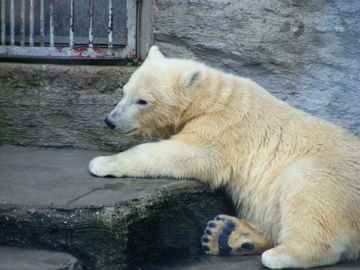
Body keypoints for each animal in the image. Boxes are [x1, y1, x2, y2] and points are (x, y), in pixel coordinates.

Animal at [89, 46, 360, 268]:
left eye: (142, 100)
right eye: (125, 91)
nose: (110, 121)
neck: (211, 98)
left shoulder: (222, 129)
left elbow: (189, 154)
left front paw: (102, 163)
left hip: (333, 177)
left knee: (308, 193)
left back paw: (280, 255)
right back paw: (227, 235)